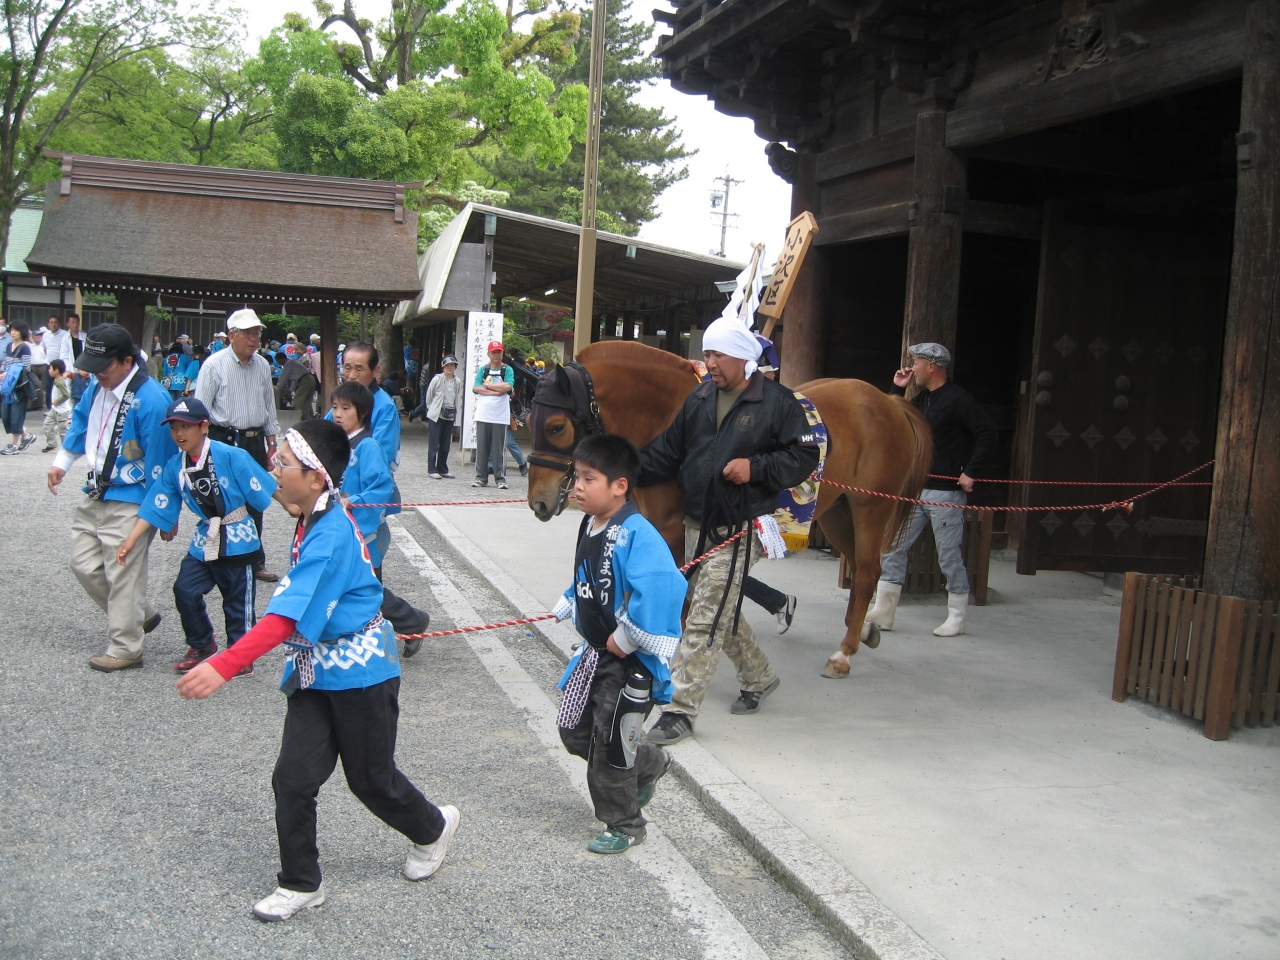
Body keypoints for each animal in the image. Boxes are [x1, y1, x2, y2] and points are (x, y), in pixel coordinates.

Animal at [522, 343, 931, 680]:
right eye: (529, 421)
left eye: (555, 426)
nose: (538, 501)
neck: (667, 416)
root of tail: (888, 401)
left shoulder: (677, 531)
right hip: (838, 513)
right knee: (861, 568)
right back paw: (861, 632)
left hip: (871, 507)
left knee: (867, 573)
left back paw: (843, 654)